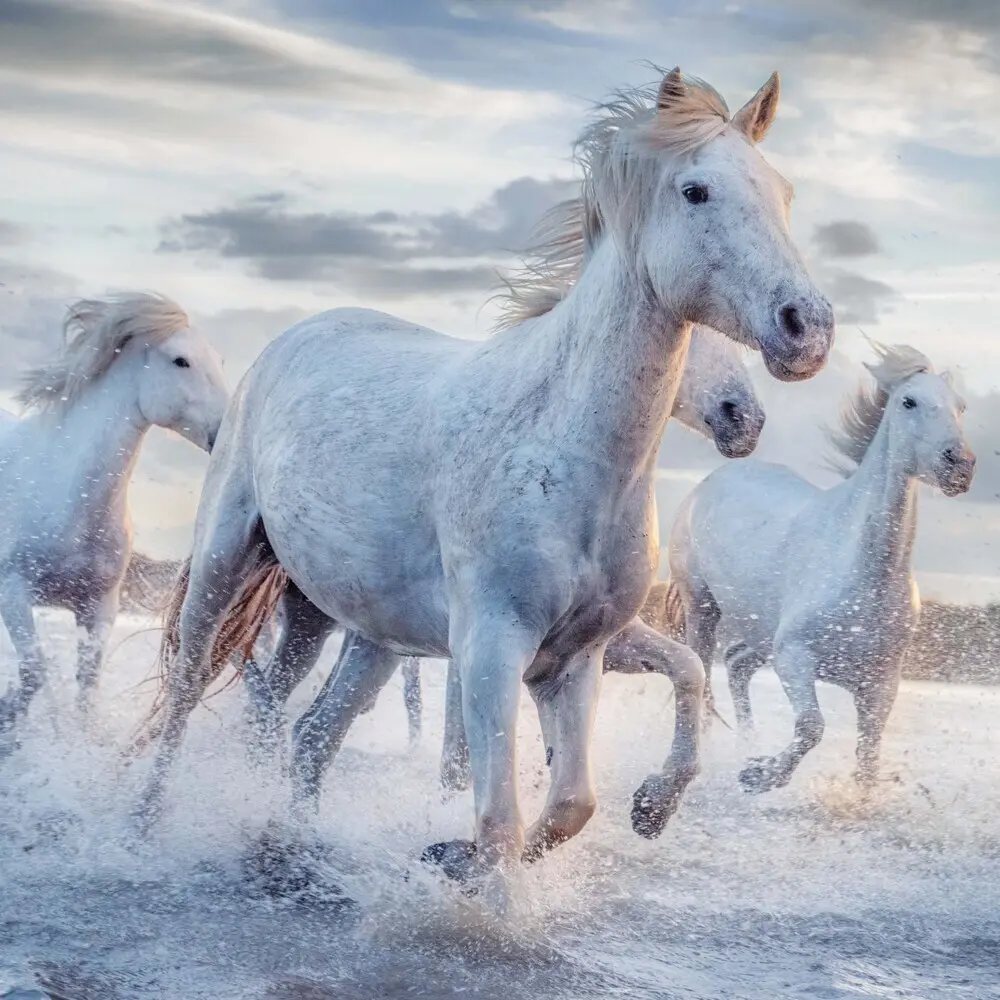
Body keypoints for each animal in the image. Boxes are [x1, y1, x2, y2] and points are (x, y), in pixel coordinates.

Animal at [0, 293, 228, 735]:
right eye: (181, 361)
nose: (228, 430)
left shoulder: (99, 606)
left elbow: (86, 690)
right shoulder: (12, 590)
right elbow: (35, 673)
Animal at [240, 322, 765, 835]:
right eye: (693, 340)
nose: (743, 417)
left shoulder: (590, 641)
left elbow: (687, 667)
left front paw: (654, 804)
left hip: (373, 644)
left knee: (315, 729)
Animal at [666, 343, 974, 793]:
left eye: (961, 406)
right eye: (908, 401)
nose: (960, 466)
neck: (865, 575)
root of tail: (711, 480)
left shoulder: (880, 685)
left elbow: (867, 761)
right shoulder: (794, 657)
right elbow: (812, 726)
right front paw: (761, 776)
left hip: (760, 632)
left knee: (738, 664)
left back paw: (747, 747)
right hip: (703, 609)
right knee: (704, 676)